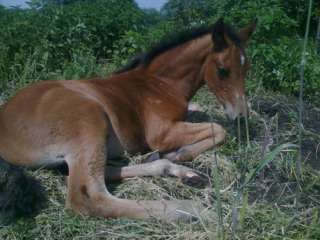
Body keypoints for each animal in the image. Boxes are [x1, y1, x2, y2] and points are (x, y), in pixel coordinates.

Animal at [0, 18, 255, 221]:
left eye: (246, 69)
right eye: (223, 70)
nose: (241, 117)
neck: (160, 84)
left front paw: (177, 157)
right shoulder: (161, 134)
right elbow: (218, 128)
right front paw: (181, 153)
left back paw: (183, 173)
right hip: (89, 119)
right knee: (88, 198)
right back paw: (191, 209)